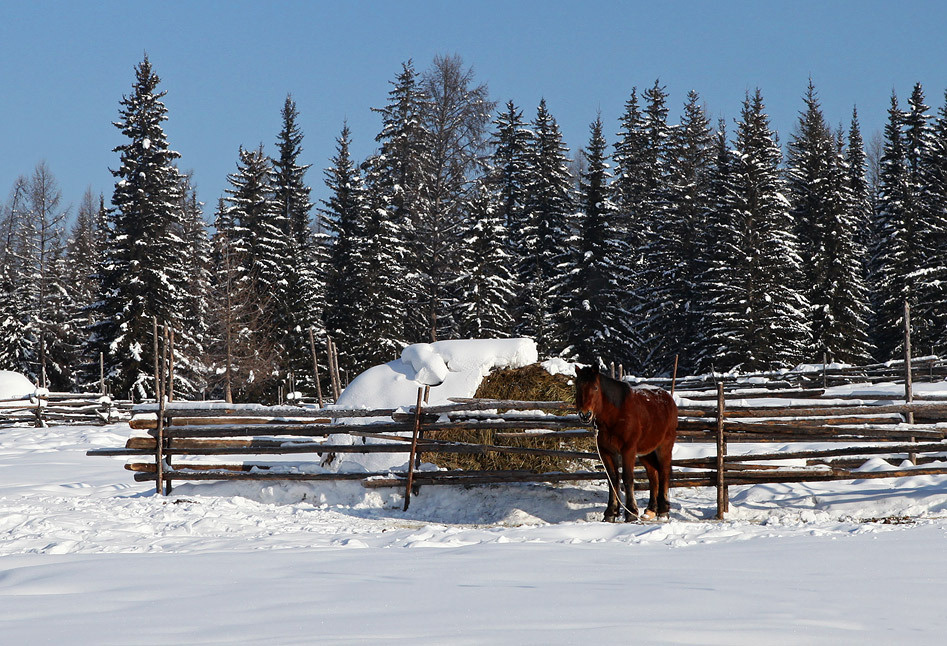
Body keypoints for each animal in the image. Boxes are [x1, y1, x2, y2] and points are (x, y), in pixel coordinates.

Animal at [575, 366, 678, 522]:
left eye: (595, 387)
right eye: (577, 386)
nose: (585, 415)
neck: (616, 415)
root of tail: (668, 398)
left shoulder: (628, 450)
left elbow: (628, 478)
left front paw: (631, 513)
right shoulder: (607, 452)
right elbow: (613, 479)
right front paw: (611, 512)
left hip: (664, 446)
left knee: (664, 472)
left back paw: (663, 511)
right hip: (646, 452)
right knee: (653, 474)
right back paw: (650, 510)